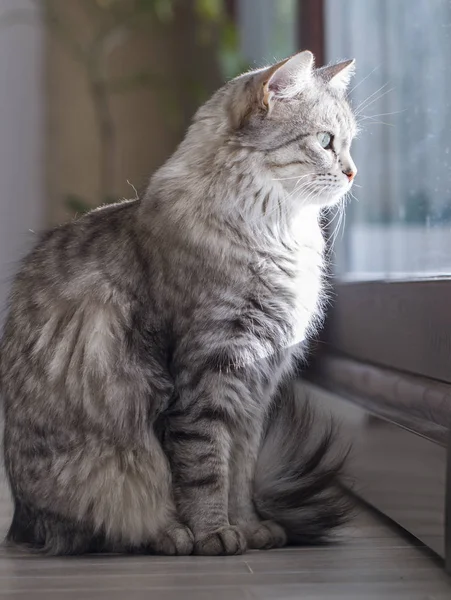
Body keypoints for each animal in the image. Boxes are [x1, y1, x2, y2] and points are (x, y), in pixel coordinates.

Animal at [1, 49, 358, 556]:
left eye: (349, 144)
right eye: (326, 142)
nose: (352, 172)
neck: (275, 236)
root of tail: (21, 524)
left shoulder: (254, 390)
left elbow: (240, 474)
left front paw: (250, 528)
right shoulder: (206, 375)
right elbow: (205, 472)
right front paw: (214, 534)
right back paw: (171, 535)